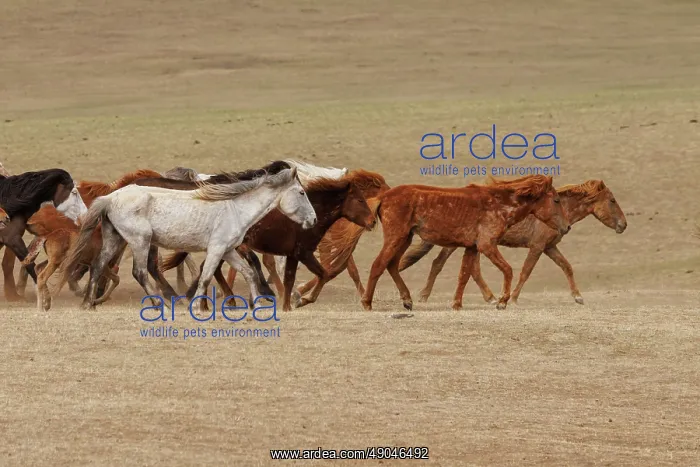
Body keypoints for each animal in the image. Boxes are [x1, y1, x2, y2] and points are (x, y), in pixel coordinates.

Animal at [59, 161, 317, 311]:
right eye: (302, 192)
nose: (313, 220)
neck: (235, 207)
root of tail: (111, 197)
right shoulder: (217, 249)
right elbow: (206, 276)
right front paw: (199, 306)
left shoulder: (228, 250)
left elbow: (248, 272)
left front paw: (256, 303)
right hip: (141, 241)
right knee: (140, 271)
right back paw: (159, 303)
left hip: (116, 239)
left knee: (98, 265)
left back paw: (89, 304)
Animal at [361, 175, 571, 311]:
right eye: (556, 200)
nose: (567, 227)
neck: (499, 204)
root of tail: (384, 196)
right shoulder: (487, 245)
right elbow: (507, 269)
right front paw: (502, 301)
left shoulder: (472, 247)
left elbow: (464, 275)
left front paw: (457, 304)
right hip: (396, 237)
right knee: (378, 265)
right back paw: (367, 303)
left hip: (405, 238)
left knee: (392, 265)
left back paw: (407, 300)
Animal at [398, 180, 627, 305]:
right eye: (612, 200)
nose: (623, 225)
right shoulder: (537, 247)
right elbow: (526, 271)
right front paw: (514, 298)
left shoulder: (550, 247)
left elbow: (567, 267)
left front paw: (578, 297)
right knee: (441, 264)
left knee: (466, 269)